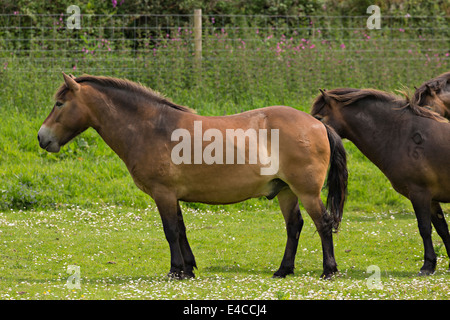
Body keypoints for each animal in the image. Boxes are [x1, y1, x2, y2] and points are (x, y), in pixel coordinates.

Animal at [38, 74, 348, 278]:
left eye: (59, 104)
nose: (42, 138)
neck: (151, 128)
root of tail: (317, 124)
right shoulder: (172, 195)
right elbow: (181, 229)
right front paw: (188, 268)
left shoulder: (163, 193)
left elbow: (170, 231)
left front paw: (175, 270)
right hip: (285, 191)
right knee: (294, 226)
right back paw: (284, 270)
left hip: (306, 192)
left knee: (323, 223)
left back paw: (329, 270)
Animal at [312, 87, 450, 276]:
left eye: (319, 117)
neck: (404, 136)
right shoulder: (431, 199)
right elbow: (442, 229)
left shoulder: (420, 194)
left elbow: (424, 228)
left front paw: (427, 266)